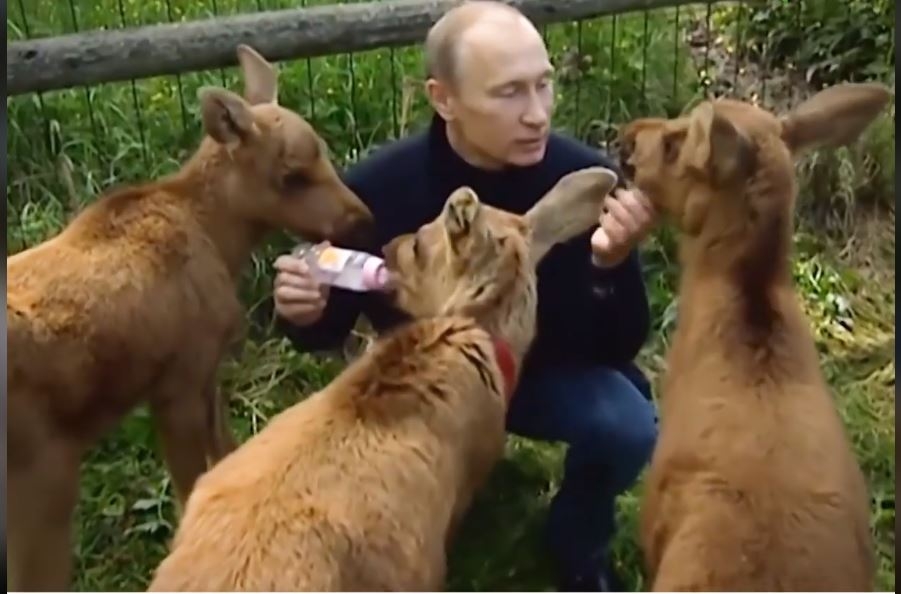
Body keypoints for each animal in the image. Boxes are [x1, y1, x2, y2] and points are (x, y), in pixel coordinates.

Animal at [7, 44, 372, 588]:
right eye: (290, 175)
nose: (361, 220)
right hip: (43, 478)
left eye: (324, 151)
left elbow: (226, 450)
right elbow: (190, 481)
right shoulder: (175, 383)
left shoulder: (206, 372)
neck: (221, 241)